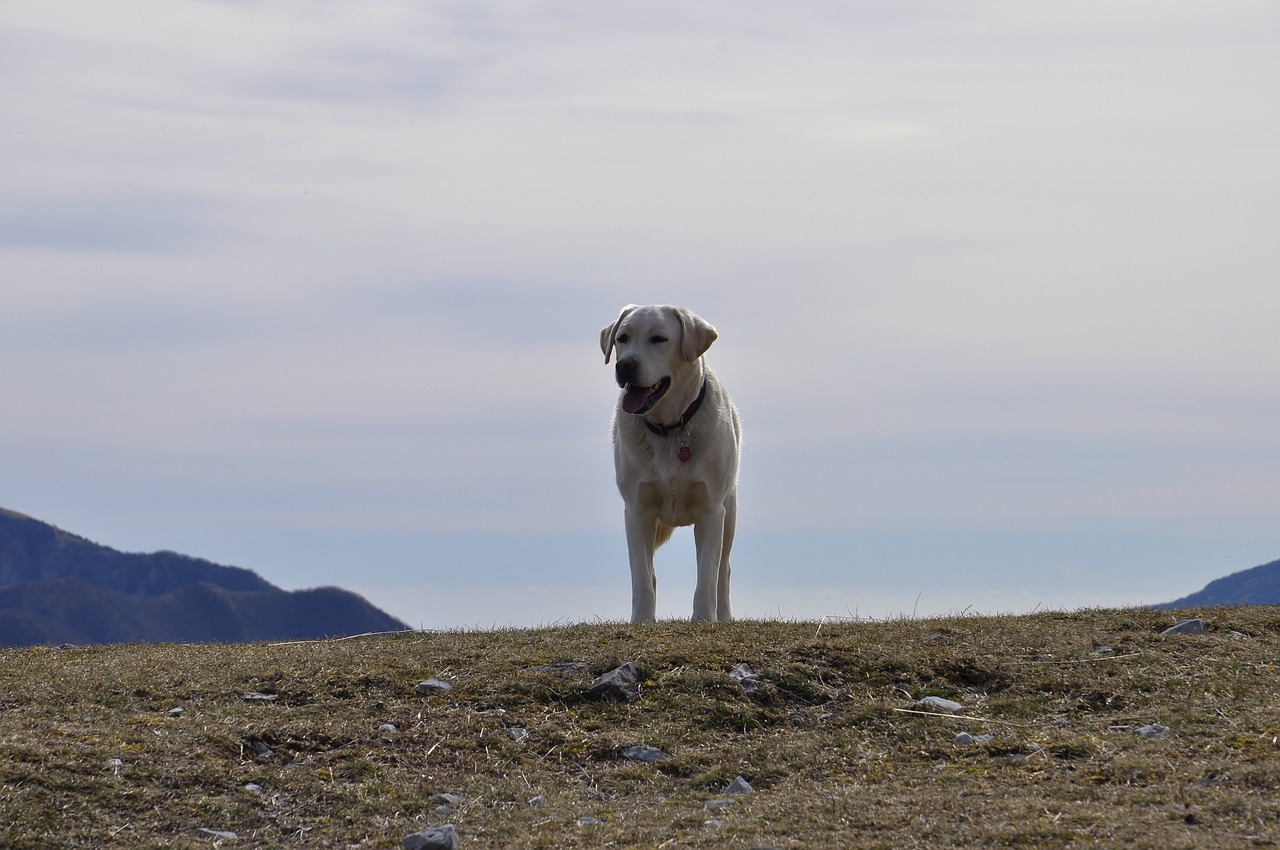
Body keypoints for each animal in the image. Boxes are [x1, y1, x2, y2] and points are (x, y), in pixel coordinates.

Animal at [599, 305, 742, 624]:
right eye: (622, 338)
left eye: (659, 339)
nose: (624, 366)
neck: (670, 427)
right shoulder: (637, 511)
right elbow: (641, 574)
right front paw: (642, 620)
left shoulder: (711, 511)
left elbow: (707, 575)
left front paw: (704, 619)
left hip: (730, 511)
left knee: (723, 570)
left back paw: (725, 616)